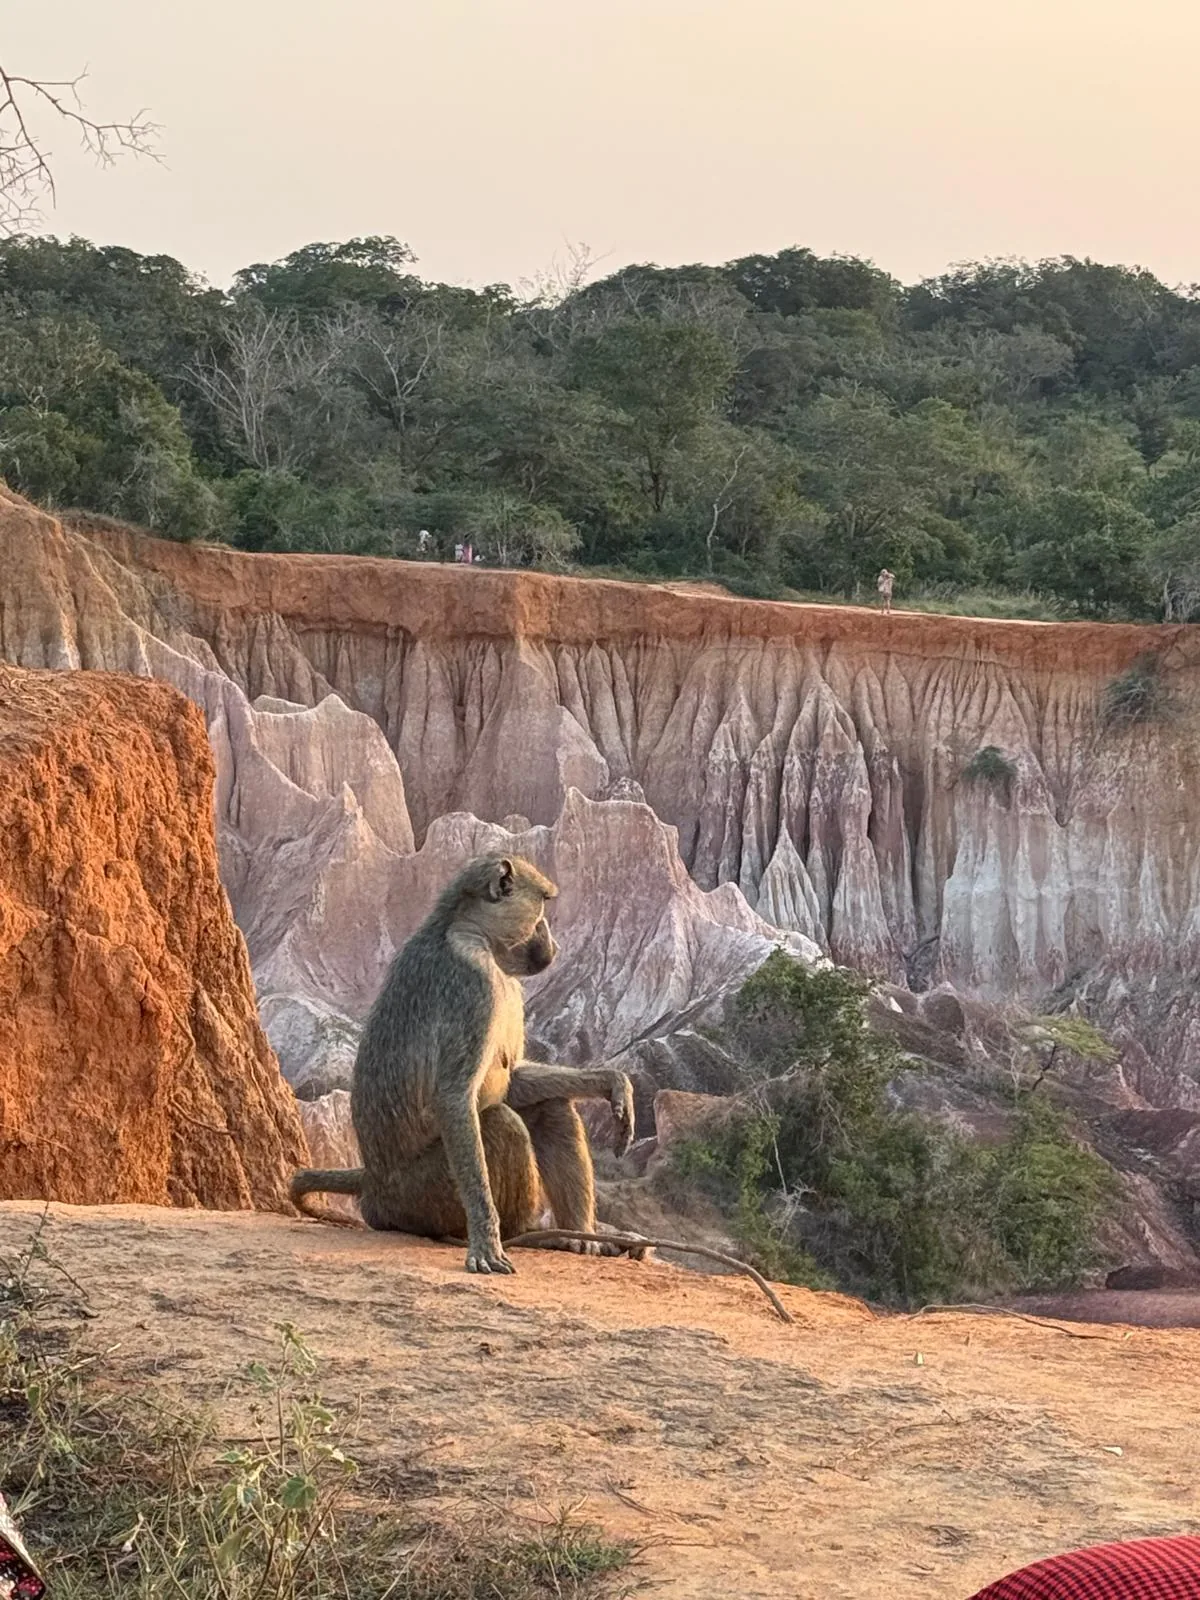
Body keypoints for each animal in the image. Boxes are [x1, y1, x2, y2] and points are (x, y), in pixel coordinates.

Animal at [289, 853, 638, 1274]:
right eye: (544, 904)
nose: (554, 943)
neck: (472, 933)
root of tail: (373, 1181)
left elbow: (513, 1078)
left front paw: (610, 1082)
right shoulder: (473, 986)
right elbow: (455, 1098)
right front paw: (485, 1240)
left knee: (550, 1107)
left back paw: (580, 1240)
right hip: (420, 1194)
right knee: (502, 1123)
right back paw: (527, 1233)